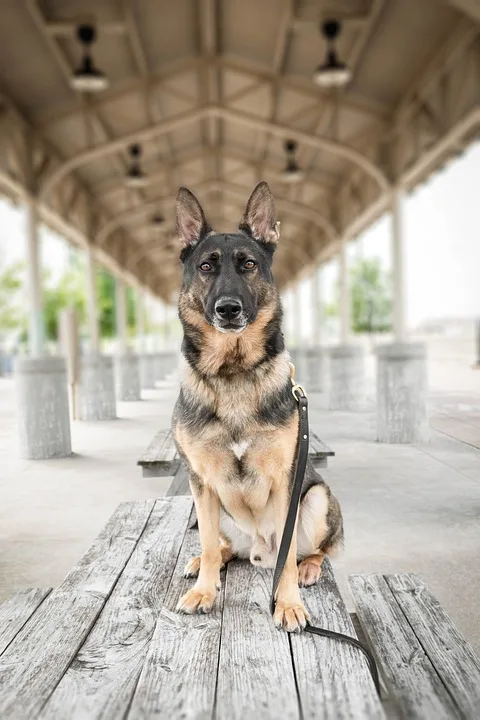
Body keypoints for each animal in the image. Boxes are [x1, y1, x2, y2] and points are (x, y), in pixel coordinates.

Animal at [172, 183, 342, 632]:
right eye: (206, 267)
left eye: (248, 264)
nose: (228, 309)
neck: (233, 371)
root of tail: (259, 551)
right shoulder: (201, 481)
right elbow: (208, 543)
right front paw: (205, 591)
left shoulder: (286, 483)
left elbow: (287, 561)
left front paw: (289, 604)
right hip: (211, 509)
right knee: (220, 545)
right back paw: (207, 563)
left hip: (316, 500)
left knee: (314, 551)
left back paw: (309, 567)